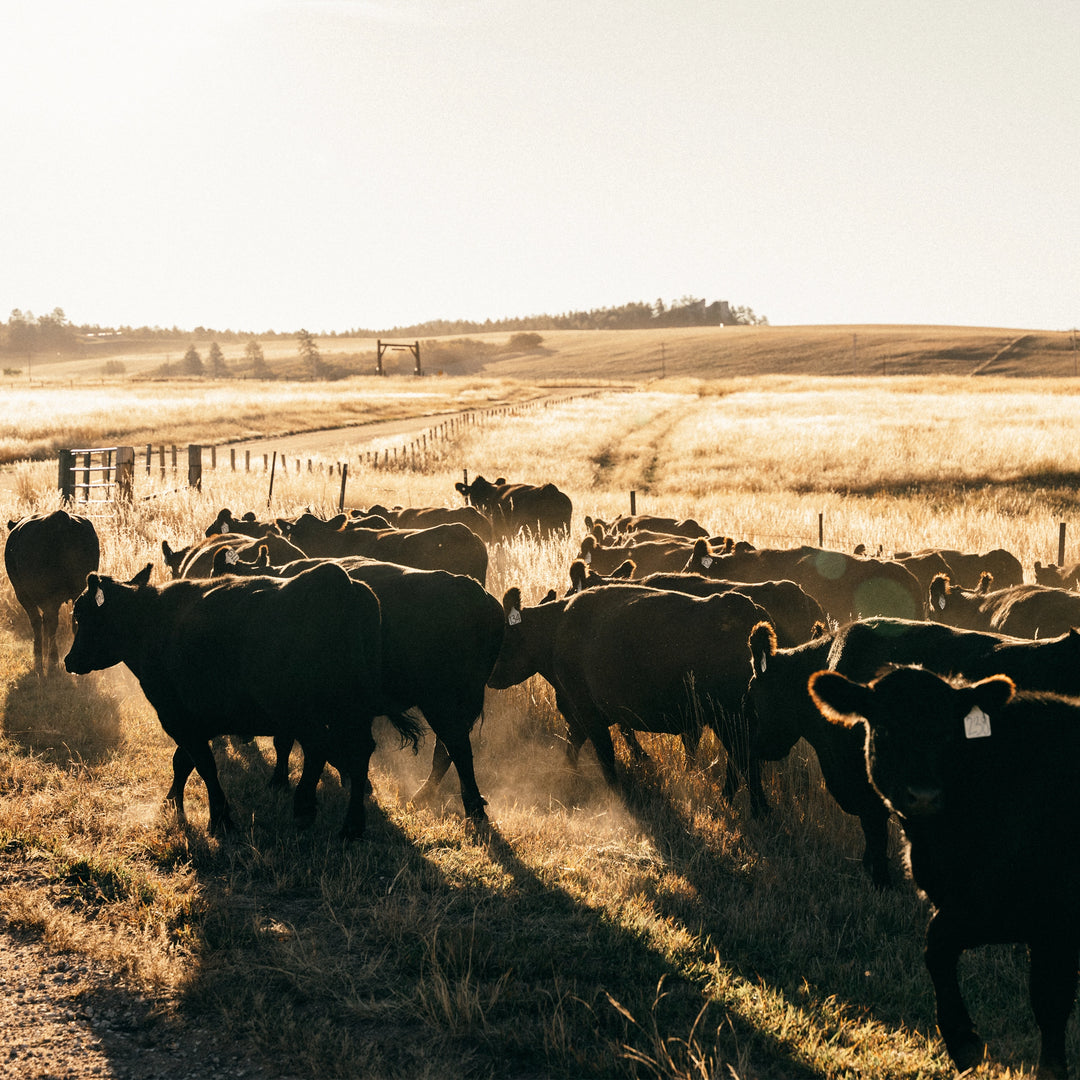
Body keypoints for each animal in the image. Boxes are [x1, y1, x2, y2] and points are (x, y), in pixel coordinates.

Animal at [4, 511, 99, 673]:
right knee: (74, 622)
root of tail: (60, 517)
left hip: (47, 595)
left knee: (52, 622)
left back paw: (52, 662)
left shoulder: (22, 594)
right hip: (80, 590)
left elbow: (37, 622)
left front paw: (38, 658)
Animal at [62, 561, 397, 838]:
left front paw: (220, 819)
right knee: (358, 753)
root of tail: (339, 582)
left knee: (319, 749)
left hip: (300, 711)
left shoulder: (177, 716)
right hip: (352, 710)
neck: (150, 623)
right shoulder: (198, 720)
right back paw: (353, 825)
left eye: (81, 614)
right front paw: (172, 803)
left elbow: (203, 765)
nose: (69, 660)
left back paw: (304, 809)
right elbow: (183, 762)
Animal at [211, 548, 505, 825]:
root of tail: (474, 592)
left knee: (456, 747)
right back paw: (435, 797)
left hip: (441, 703)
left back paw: (471, 808)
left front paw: (280, 781)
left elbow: (287, 741)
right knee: (445, 750)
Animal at [812, 665, 1080, 1080]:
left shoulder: (1046, 915)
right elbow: (939, 949)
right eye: (884, 728)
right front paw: (964, 1041)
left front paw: (965, 1041)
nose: (922, 795)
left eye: (947, 733)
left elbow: (1049, 1004)